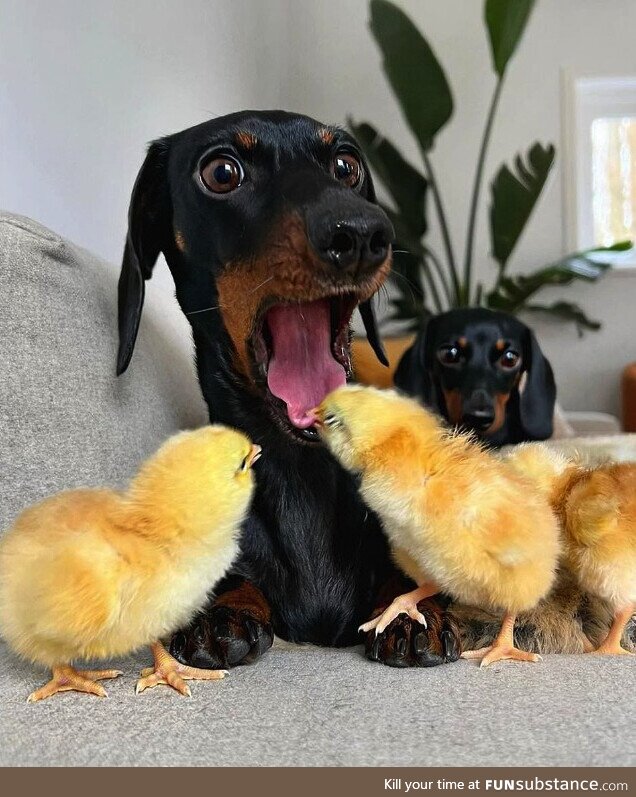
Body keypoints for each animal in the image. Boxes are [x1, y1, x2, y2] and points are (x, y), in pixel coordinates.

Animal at [115, 110, 462, 664]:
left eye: (346, 165)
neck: (305, 474)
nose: (361, 233)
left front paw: (411, 610)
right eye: (221, 172)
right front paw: (222, 611)